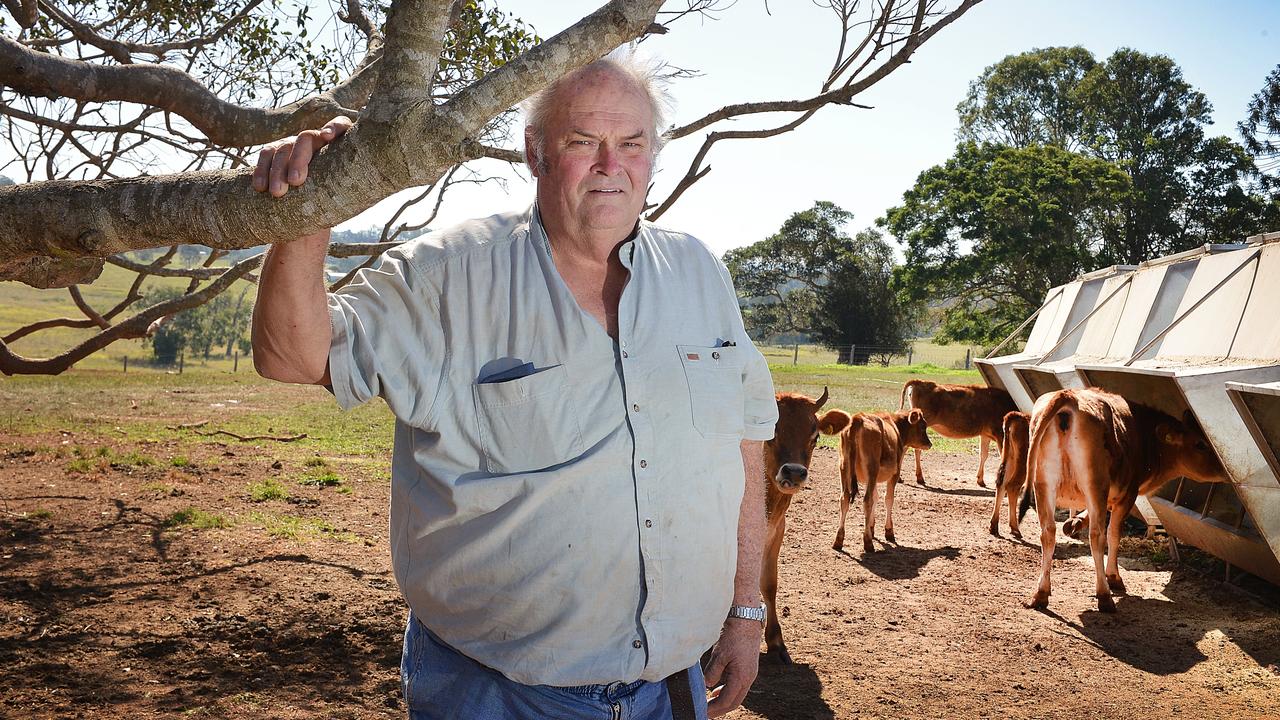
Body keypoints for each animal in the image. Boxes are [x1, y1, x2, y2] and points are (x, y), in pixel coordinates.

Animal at [757, 386, 849, 661]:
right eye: (771, 429)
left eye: (815, 436)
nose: (794, 472)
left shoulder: (776, 531)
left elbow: (769, 583)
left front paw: (776, 640)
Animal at [819, 407, 931, 550]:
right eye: (923, 426)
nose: (929, 444)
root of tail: (857, 418)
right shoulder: (895, 473)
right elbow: (888, 499)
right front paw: (888, 531)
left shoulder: (871, 479)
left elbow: (875, 496)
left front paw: (871, 527)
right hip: (872, 467)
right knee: (867, 500)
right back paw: (868, 542)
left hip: (844, 467)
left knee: (845, 498)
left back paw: (839, 540)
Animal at [988, 409, 1029, 538]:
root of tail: (1017, 416)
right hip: (1022, 465)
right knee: (1012, 486)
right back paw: (1015, 529)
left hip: (1010, 458)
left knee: (1001, 484)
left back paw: (994, 527)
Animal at [1018, 386, 1228, 609]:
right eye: (1200, 444)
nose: (1224, 470)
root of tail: (1068, 395)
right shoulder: (1128, 494)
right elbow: (1114, 534)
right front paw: (1114, 577)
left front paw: (1074, 523)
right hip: (1095, 485)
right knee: (1097, 535)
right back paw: (1104, 596)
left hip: (1044, 485)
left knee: (1048, 532)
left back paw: (1041, 593)